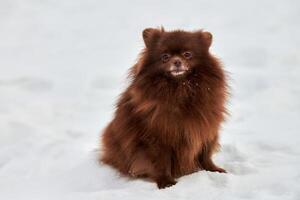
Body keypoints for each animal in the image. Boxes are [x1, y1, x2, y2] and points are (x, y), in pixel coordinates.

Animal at [99, 27, 229, 188]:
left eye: (187, 54)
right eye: (165, 57)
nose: (177, 61)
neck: (180, 89)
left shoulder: (205, 129)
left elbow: (205, 154)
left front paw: (213, 170)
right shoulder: (157, 137)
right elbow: (161, 161)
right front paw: (166, 182)